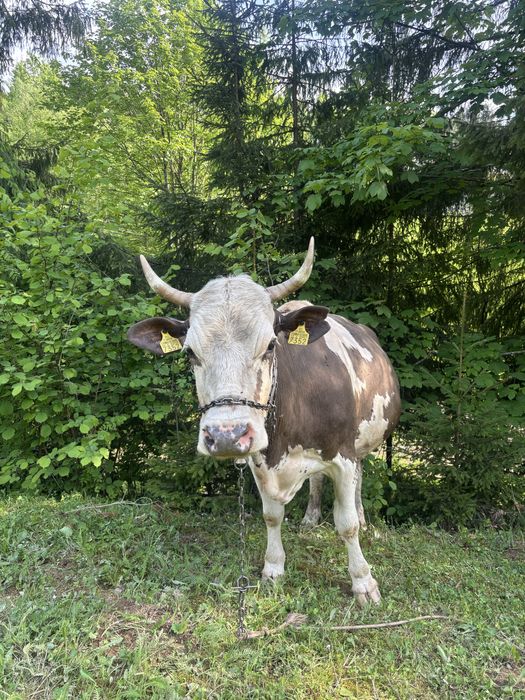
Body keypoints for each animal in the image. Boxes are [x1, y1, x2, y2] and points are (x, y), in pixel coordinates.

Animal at [127, 238, 401, 605]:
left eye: (271, 345)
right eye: (189, 353)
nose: (226, 435)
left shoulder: (341, 455)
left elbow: (346, 524)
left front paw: (363, 581)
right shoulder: (260, 459)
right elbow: (272, 516)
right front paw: (273, 568)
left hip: (362, 443)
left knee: (359, 478)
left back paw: (361, 516)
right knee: (317, 481)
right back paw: (310, 518)